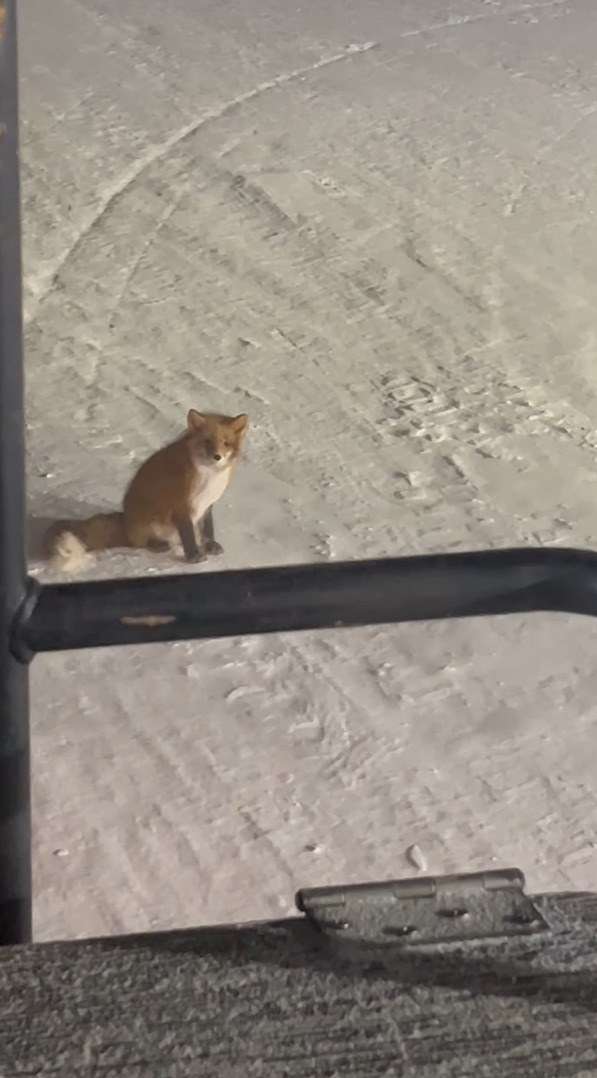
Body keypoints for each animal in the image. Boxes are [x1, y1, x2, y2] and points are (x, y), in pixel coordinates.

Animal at [41, 405, 246, 573]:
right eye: (207, 442)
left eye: (226, 443)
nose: (217, 457)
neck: (208, 477)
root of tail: (125, 518)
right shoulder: (181, 505)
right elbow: (188, 535)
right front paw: (194, 557)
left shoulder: (206, 504)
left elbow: (208, 530)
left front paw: (210, 546)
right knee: (138, 544)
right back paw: (157, 545)